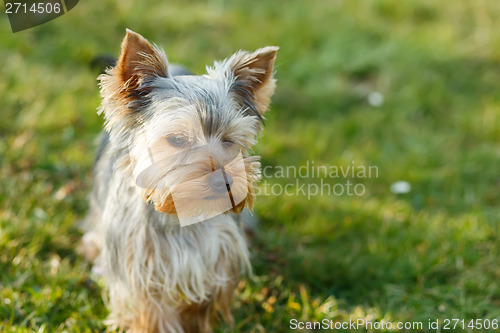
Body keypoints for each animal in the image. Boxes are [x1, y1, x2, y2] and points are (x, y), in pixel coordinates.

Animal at [80, 29, 280, 332]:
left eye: (229, 141)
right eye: (177, 139)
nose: (224, 183)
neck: (179, 215)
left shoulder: (221, 248)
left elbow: (207, 294)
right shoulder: (137, 259)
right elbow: (151, 309)